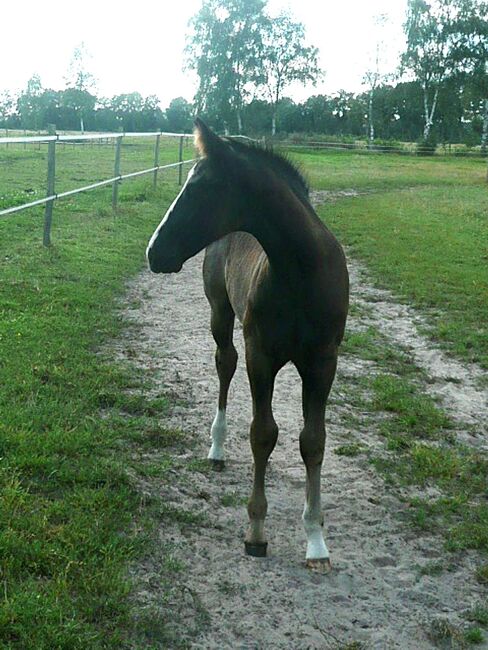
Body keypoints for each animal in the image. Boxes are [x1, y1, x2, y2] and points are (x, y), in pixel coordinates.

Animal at [147, 120, 348, 568]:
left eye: (200, 188)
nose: (154, 252)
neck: (300, 272)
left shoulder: (322, 362)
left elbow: (313, 441)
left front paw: (316, 540)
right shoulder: (262, 355)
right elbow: (263, 434)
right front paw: (256, 530)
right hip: (220, 313)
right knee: (225, 363)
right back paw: (217, 447)